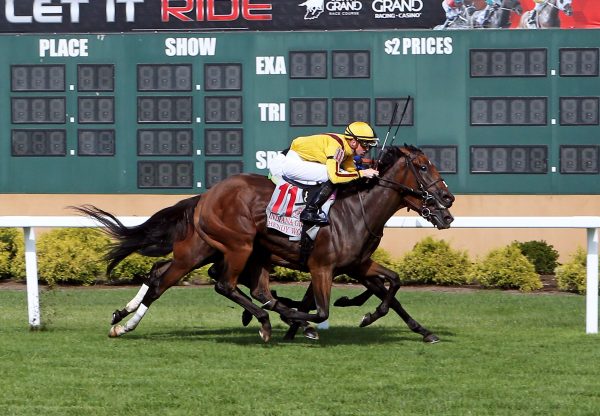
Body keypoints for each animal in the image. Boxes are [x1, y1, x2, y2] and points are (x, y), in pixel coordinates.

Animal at [78, 145, 454, 342]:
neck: (356, 210)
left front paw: (415, 328)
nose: (448, 202)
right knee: (219, 284)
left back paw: (123, 319)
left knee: (161, 275)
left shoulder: (358, 264)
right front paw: (307, 320)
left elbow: (394, 285)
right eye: (423, 167)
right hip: (235, 247)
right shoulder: (323, 266)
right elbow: (321, 308)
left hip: (208, 251)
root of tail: (206, 196)